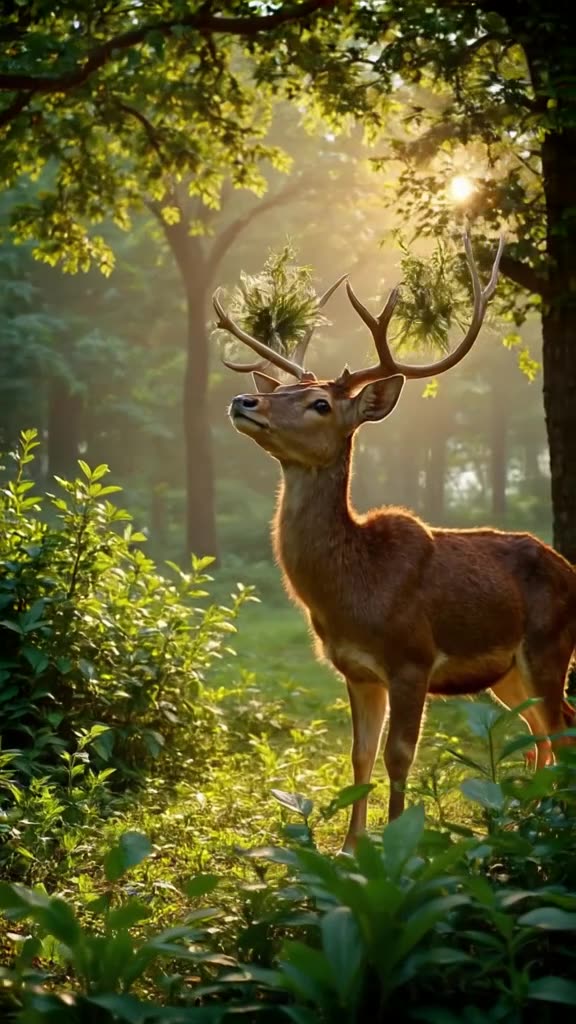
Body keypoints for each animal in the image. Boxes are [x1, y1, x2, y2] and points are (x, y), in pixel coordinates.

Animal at [213, 232, 576, 852]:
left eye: (321, 403)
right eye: (283, 387)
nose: (244, 401)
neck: (356, 588)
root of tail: (570, 567)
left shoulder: (413, 658)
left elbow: (399, 757)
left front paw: (400, 845)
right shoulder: (356, 671)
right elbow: (358, 756)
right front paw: (350, 847)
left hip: (550, 647)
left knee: (561, 729)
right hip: (507, 673)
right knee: (541, 735)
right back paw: (527, 819)